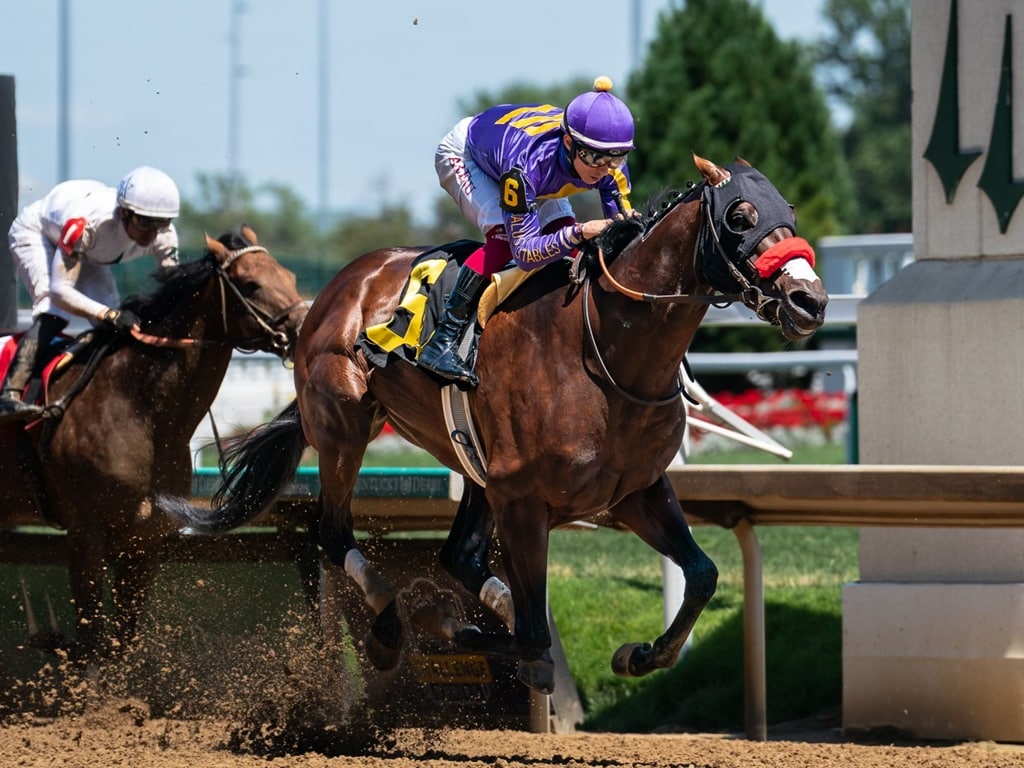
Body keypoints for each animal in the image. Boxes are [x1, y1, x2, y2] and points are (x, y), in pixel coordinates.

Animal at [0, 227, 307, 663]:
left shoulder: (143, 542)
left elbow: (123, 641)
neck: (138, 410)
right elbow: (93, 643)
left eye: (291, 277)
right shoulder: (84, 534)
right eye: (250, 284)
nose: (306, 328)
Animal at [163, 157, 827, 696]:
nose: (810, 301)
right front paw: (437, 621)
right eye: (740, 215)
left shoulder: (633, 490)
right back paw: (388, 625)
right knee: (333, 531)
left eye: (789, 212)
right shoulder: (525, 501)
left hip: (476, 469)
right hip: (346, 430)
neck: (607, 351)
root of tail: (338, 288)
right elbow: (530, 633)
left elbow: (703, 575)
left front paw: (639, 655)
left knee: (459, 555)